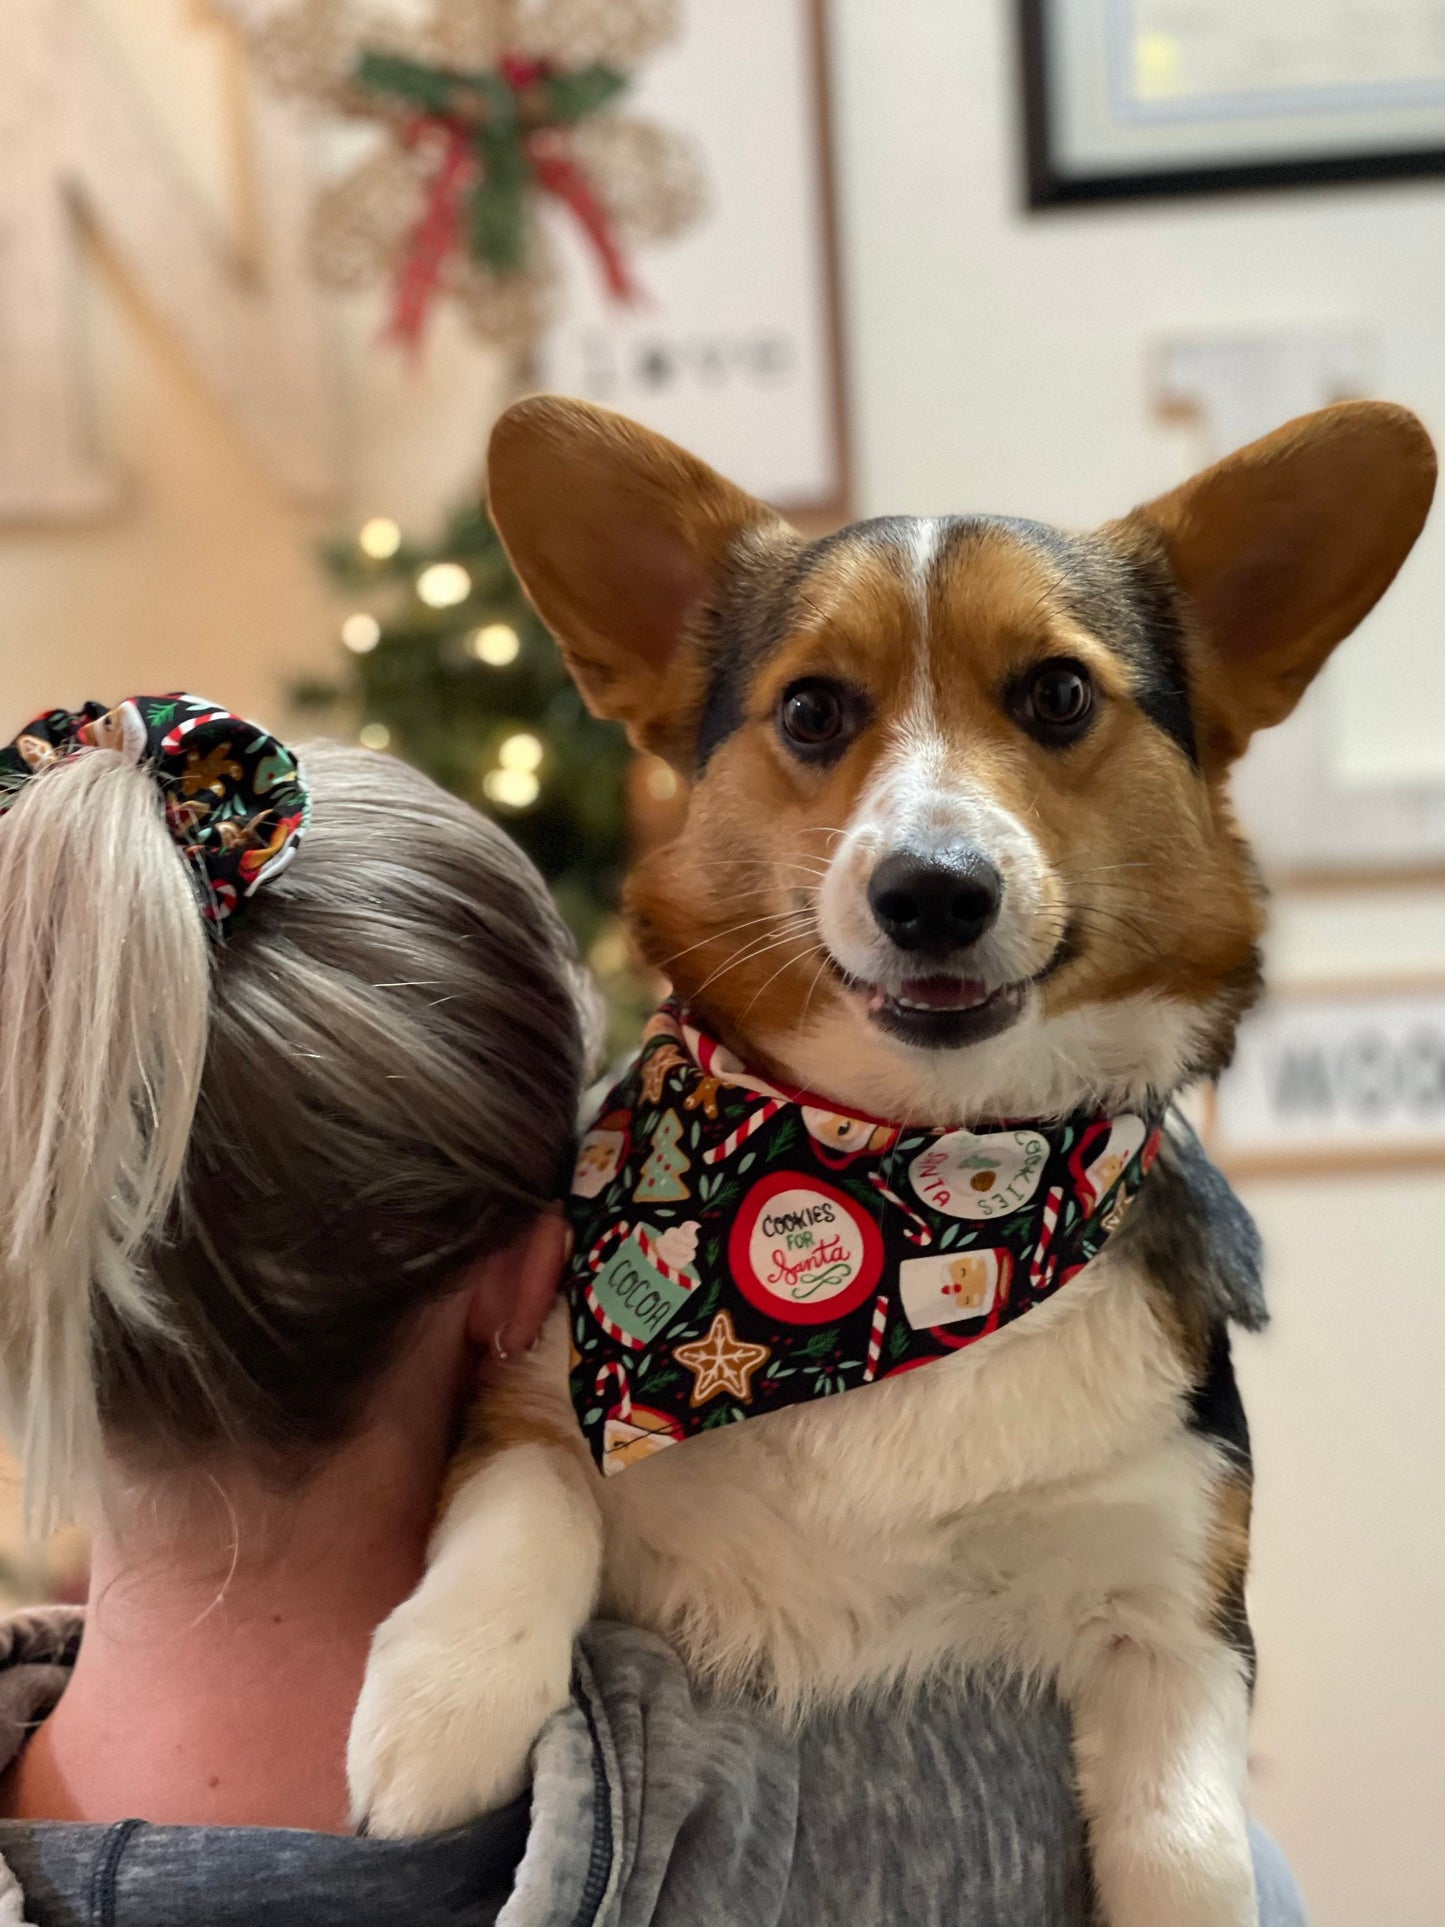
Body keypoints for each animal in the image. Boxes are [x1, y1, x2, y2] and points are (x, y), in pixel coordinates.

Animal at [348, 398, 1441, 1919]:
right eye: (812, 708)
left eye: (1057, 694)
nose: (931, 892)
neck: (909, 1187)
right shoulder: (544, 1385)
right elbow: (532, 1496)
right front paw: (440, 1709)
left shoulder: (1171, 1601)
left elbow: (1184, 1843)